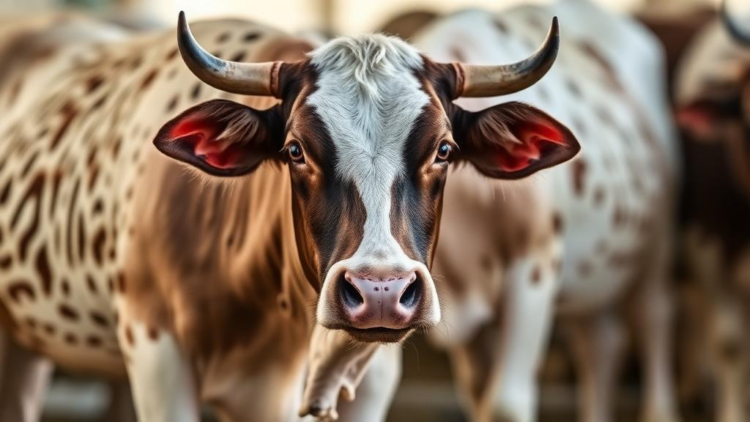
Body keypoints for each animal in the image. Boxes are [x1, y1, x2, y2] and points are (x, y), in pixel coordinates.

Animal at [406, 1, 680, 421]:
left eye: (444, 149)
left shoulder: (535, 267)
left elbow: (506, 403)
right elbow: (478, 394)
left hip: (658, 243)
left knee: (654, 320)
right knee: (601, 344)